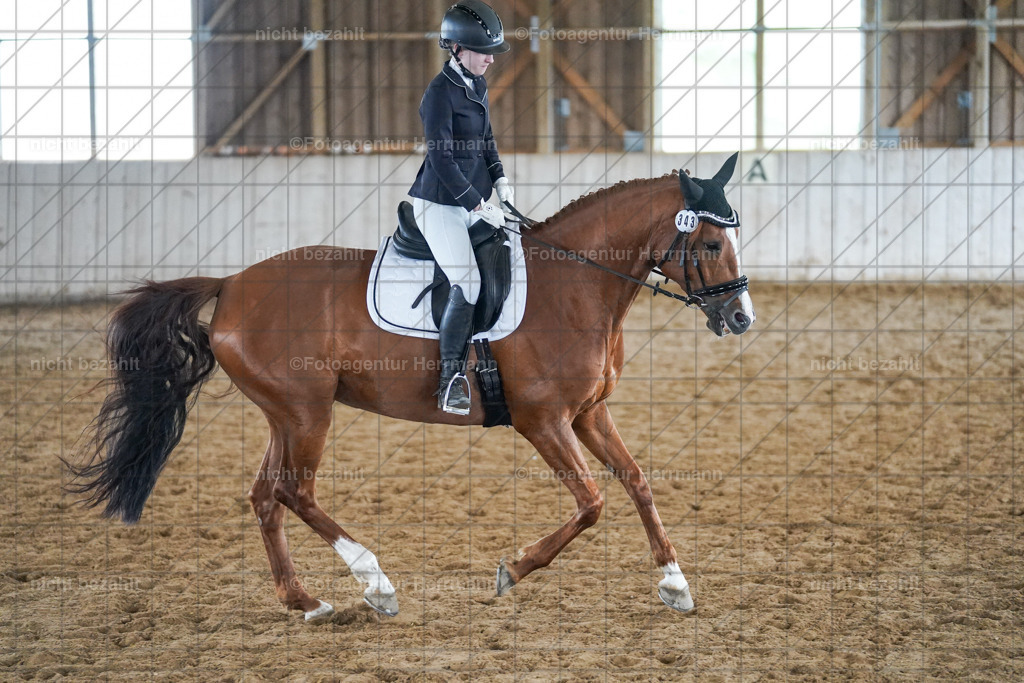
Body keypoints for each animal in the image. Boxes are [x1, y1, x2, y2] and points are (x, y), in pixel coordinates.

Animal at [65, 154, 754, 623]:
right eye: (709, 243)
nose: (741, 318)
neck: (577, 284)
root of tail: (230, 284)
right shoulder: (543, 420)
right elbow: (591, 503)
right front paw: (513, 570)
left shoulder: (589, 413)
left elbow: (636, 483)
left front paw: (675, 582)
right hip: (307, 412)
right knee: (293, 491)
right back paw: (375, 584)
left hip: (285, 415)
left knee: (266, 496)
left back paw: (305, 602)